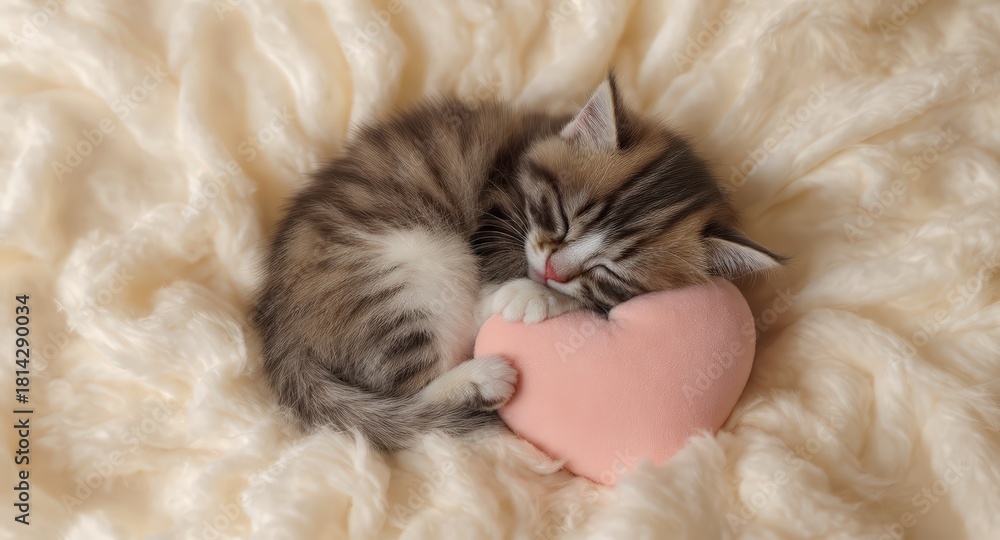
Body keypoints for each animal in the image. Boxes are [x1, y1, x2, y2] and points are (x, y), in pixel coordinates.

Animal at [250, 74, 783, 451]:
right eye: (562, 218)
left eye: (610, 272)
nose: (552, 273)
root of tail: (280, 331)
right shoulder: (494, 206)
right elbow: (502, 256)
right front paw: (528, 292)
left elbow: (589, 301)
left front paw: (541, 293)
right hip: (404, 263)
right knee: (410, 389)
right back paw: (483, 374)